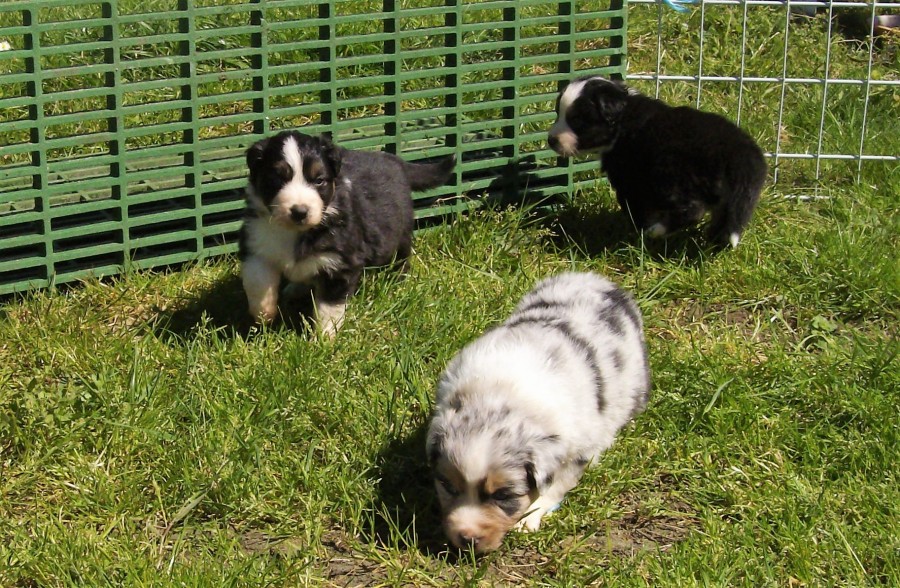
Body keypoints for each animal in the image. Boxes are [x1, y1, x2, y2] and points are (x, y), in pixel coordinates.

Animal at [239, 130, 455, 335]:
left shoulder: (339, 263)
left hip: (399, 234)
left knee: (402, 257)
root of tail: (395, 161)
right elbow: (257, 281)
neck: (295, 232)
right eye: (277, 179)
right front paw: (263, 314)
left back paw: (397, 280)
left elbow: (328, 308)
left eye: (319, 181)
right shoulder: (256, 244)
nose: (300, 211)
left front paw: (323, 339)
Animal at [426, 272, 650, 554]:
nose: (466, 539)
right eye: (447, 486)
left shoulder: (580, 450)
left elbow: (557, 484)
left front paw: (528, 519)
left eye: (503, 495)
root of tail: (598, 280)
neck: (498, 398)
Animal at [548, 76, 767, 248]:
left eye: (577, 120)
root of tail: (740, 155)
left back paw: (656, 231)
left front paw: (636, 231)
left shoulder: (630, 180)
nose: (551, 140)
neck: (623, 117)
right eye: (558, 113)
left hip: (672, 176)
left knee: (692, 209)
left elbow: (634, 208)